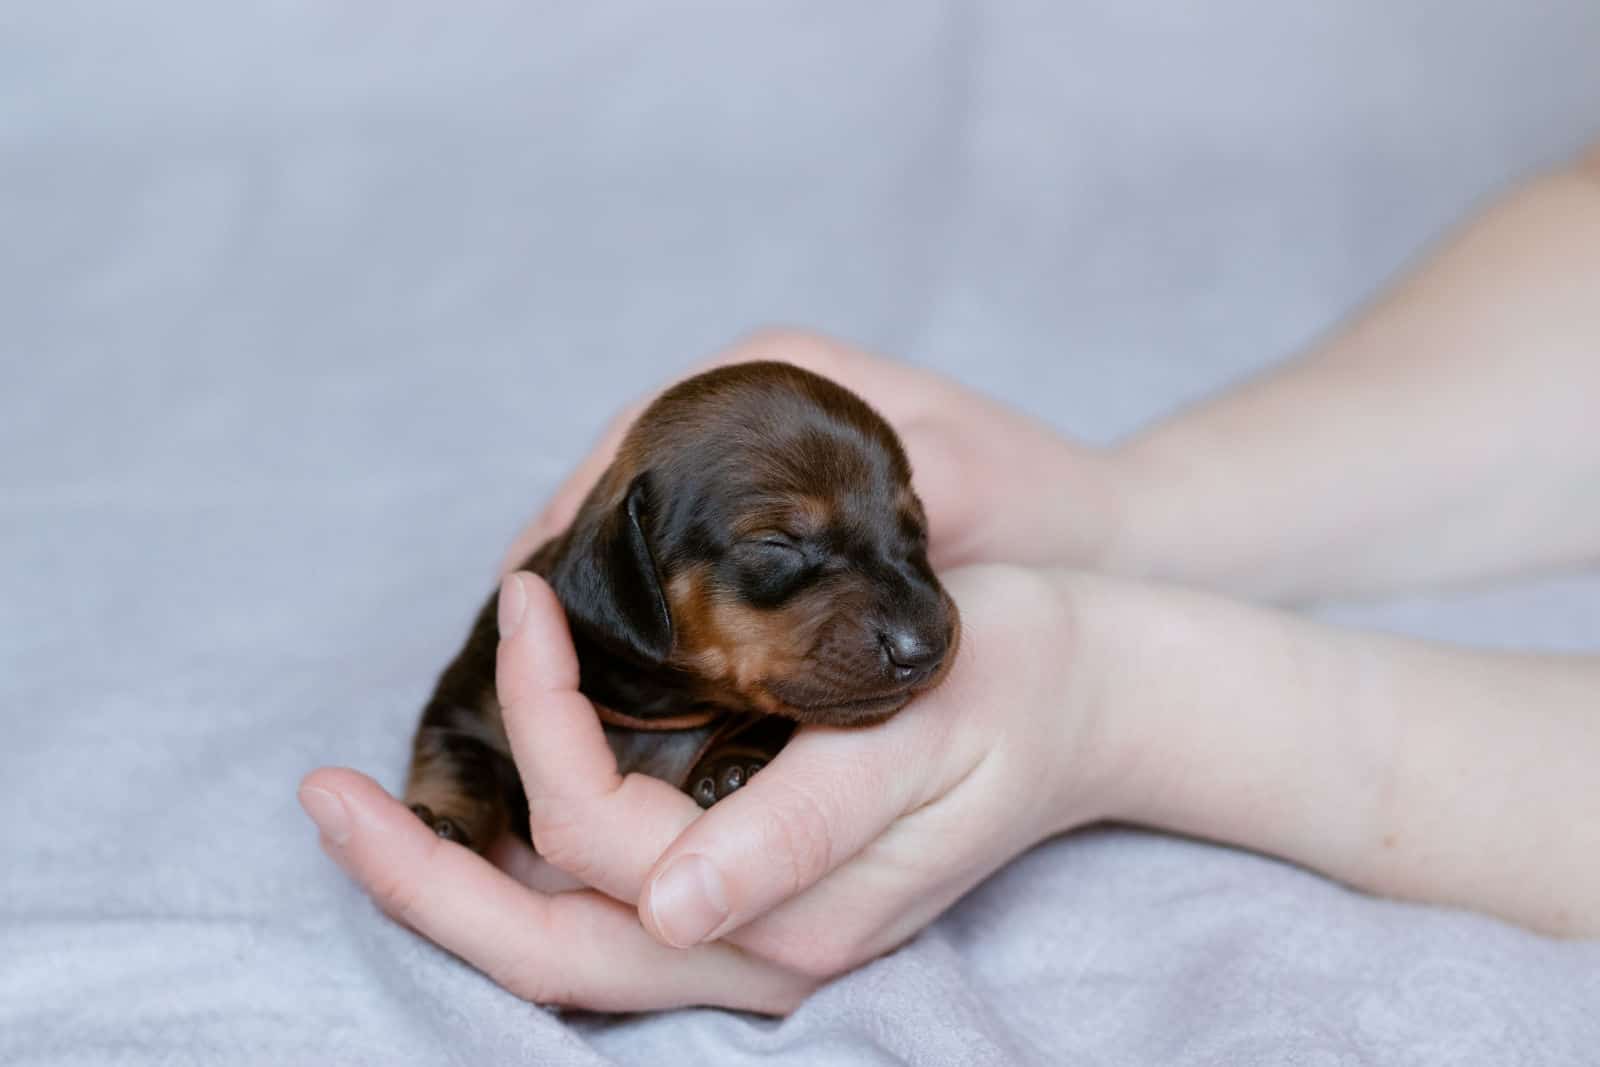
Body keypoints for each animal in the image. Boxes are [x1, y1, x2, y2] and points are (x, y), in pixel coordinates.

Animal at [406, 363, 953, 857]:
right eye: (776, 543)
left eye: (919, 530)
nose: (928, 648)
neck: (657, 703)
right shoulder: (466, 700)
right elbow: (458, 760)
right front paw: (440, 817)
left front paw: (733, 766)